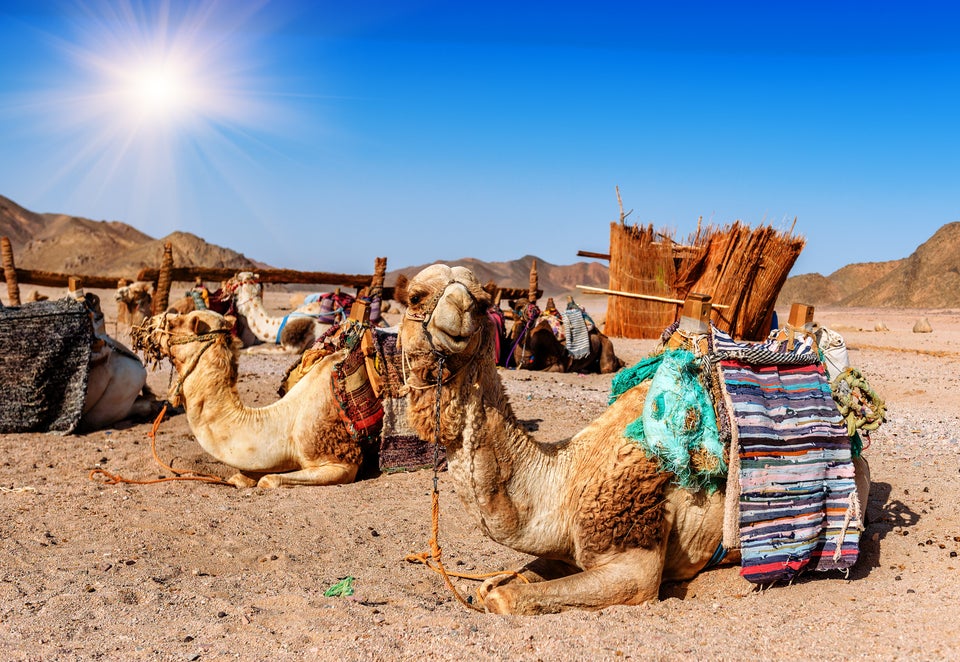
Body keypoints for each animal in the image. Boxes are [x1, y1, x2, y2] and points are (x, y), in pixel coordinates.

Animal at [132, 309, 362, 488]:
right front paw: (242, 478)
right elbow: (243, 476)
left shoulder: (341, 462)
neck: (287, 422)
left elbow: (269, 480)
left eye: (174, 322)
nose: (143, 326)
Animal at [396, 264, 871, 614]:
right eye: (415, 297)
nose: (458, 316)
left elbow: (507, 598)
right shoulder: (566, 544)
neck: (564, 481)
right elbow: (498, 583)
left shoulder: (633, 560)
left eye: (479, 303)